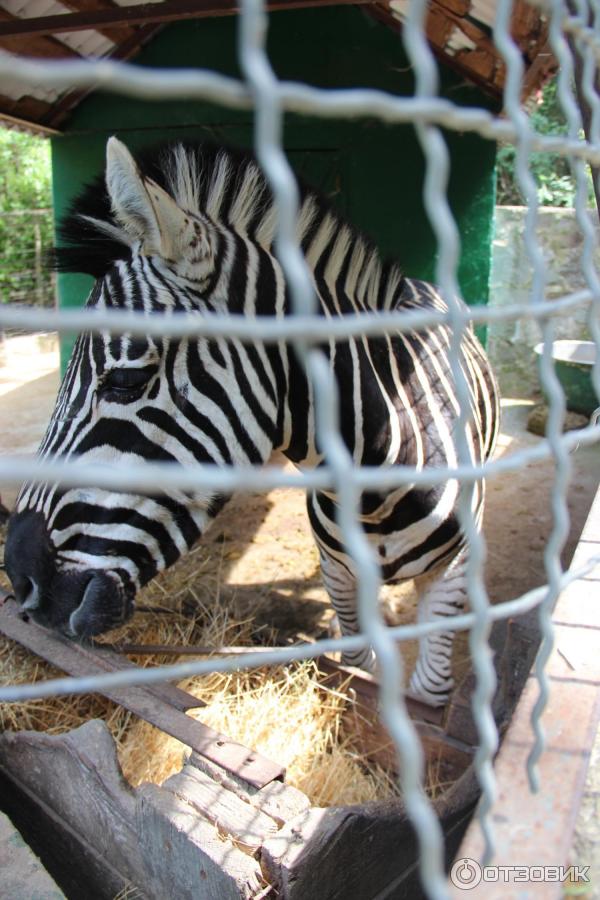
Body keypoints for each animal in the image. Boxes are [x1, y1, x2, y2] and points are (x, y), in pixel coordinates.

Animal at [5, 137, 496, 708]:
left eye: (126, 381)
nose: (20, 581)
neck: (378, 481)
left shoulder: (447, 577)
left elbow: (429, 695)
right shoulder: (339, 572)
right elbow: (356, 669)